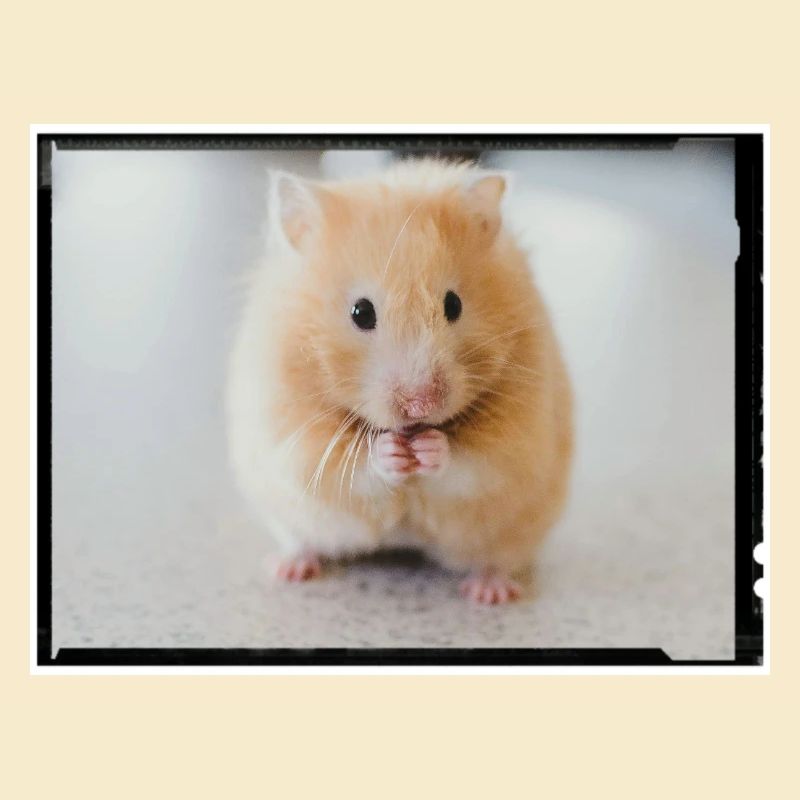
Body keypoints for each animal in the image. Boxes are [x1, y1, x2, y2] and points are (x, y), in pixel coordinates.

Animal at [226, 159, 573, 604]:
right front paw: (392, 451)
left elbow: (472, 464)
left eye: (454, 304)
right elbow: (350, 467)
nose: (420, 405)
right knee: (302, 540)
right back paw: (288, 569)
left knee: (497, 559)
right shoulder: (293, 436)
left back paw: (489, 593)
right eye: (360, 312)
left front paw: (429, 448)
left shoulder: (518, 442)